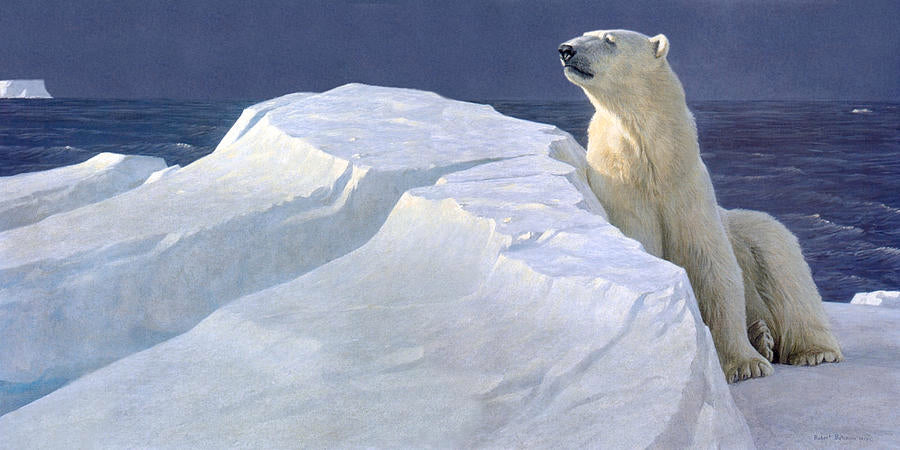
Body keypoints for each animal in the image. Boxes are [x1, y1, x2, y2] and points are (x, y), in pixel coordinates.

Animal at [558, 29, 843, 383]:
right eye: (585, 34)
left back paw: (813, 351)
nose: (566, 49)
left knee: (788, 275)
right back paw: (763, 337)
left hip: (760, 235)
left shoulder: (690, 194)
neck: (654, 166)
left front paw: (745, 365)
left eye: (609, 39)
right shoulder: (622, 194)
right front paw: (746, 360)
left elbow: (714, 270)